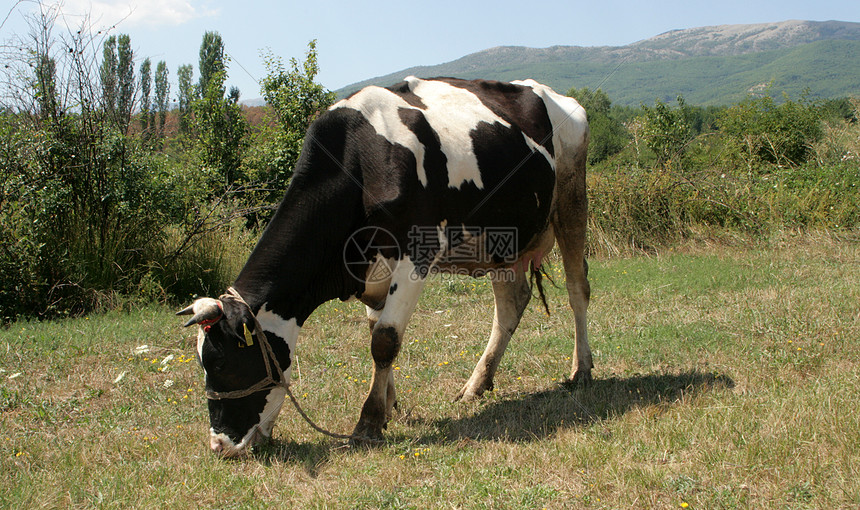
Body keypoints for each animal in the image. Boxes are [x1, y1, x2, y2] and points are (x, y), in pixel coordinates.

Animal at [175, 77, 592, 456]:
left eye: (224, 364)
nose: (220, 446)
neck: (359, 157)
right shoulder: (371, 270)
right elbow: (375, 330)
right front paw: (390, 406)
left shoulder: (417, 252)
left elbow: (385, 340)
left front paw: (369, 422)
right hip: (504, 241)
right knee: (510, 305)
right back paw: (477, 384)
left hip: (571, 199)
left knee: (577, 290)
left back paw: (582, 370)